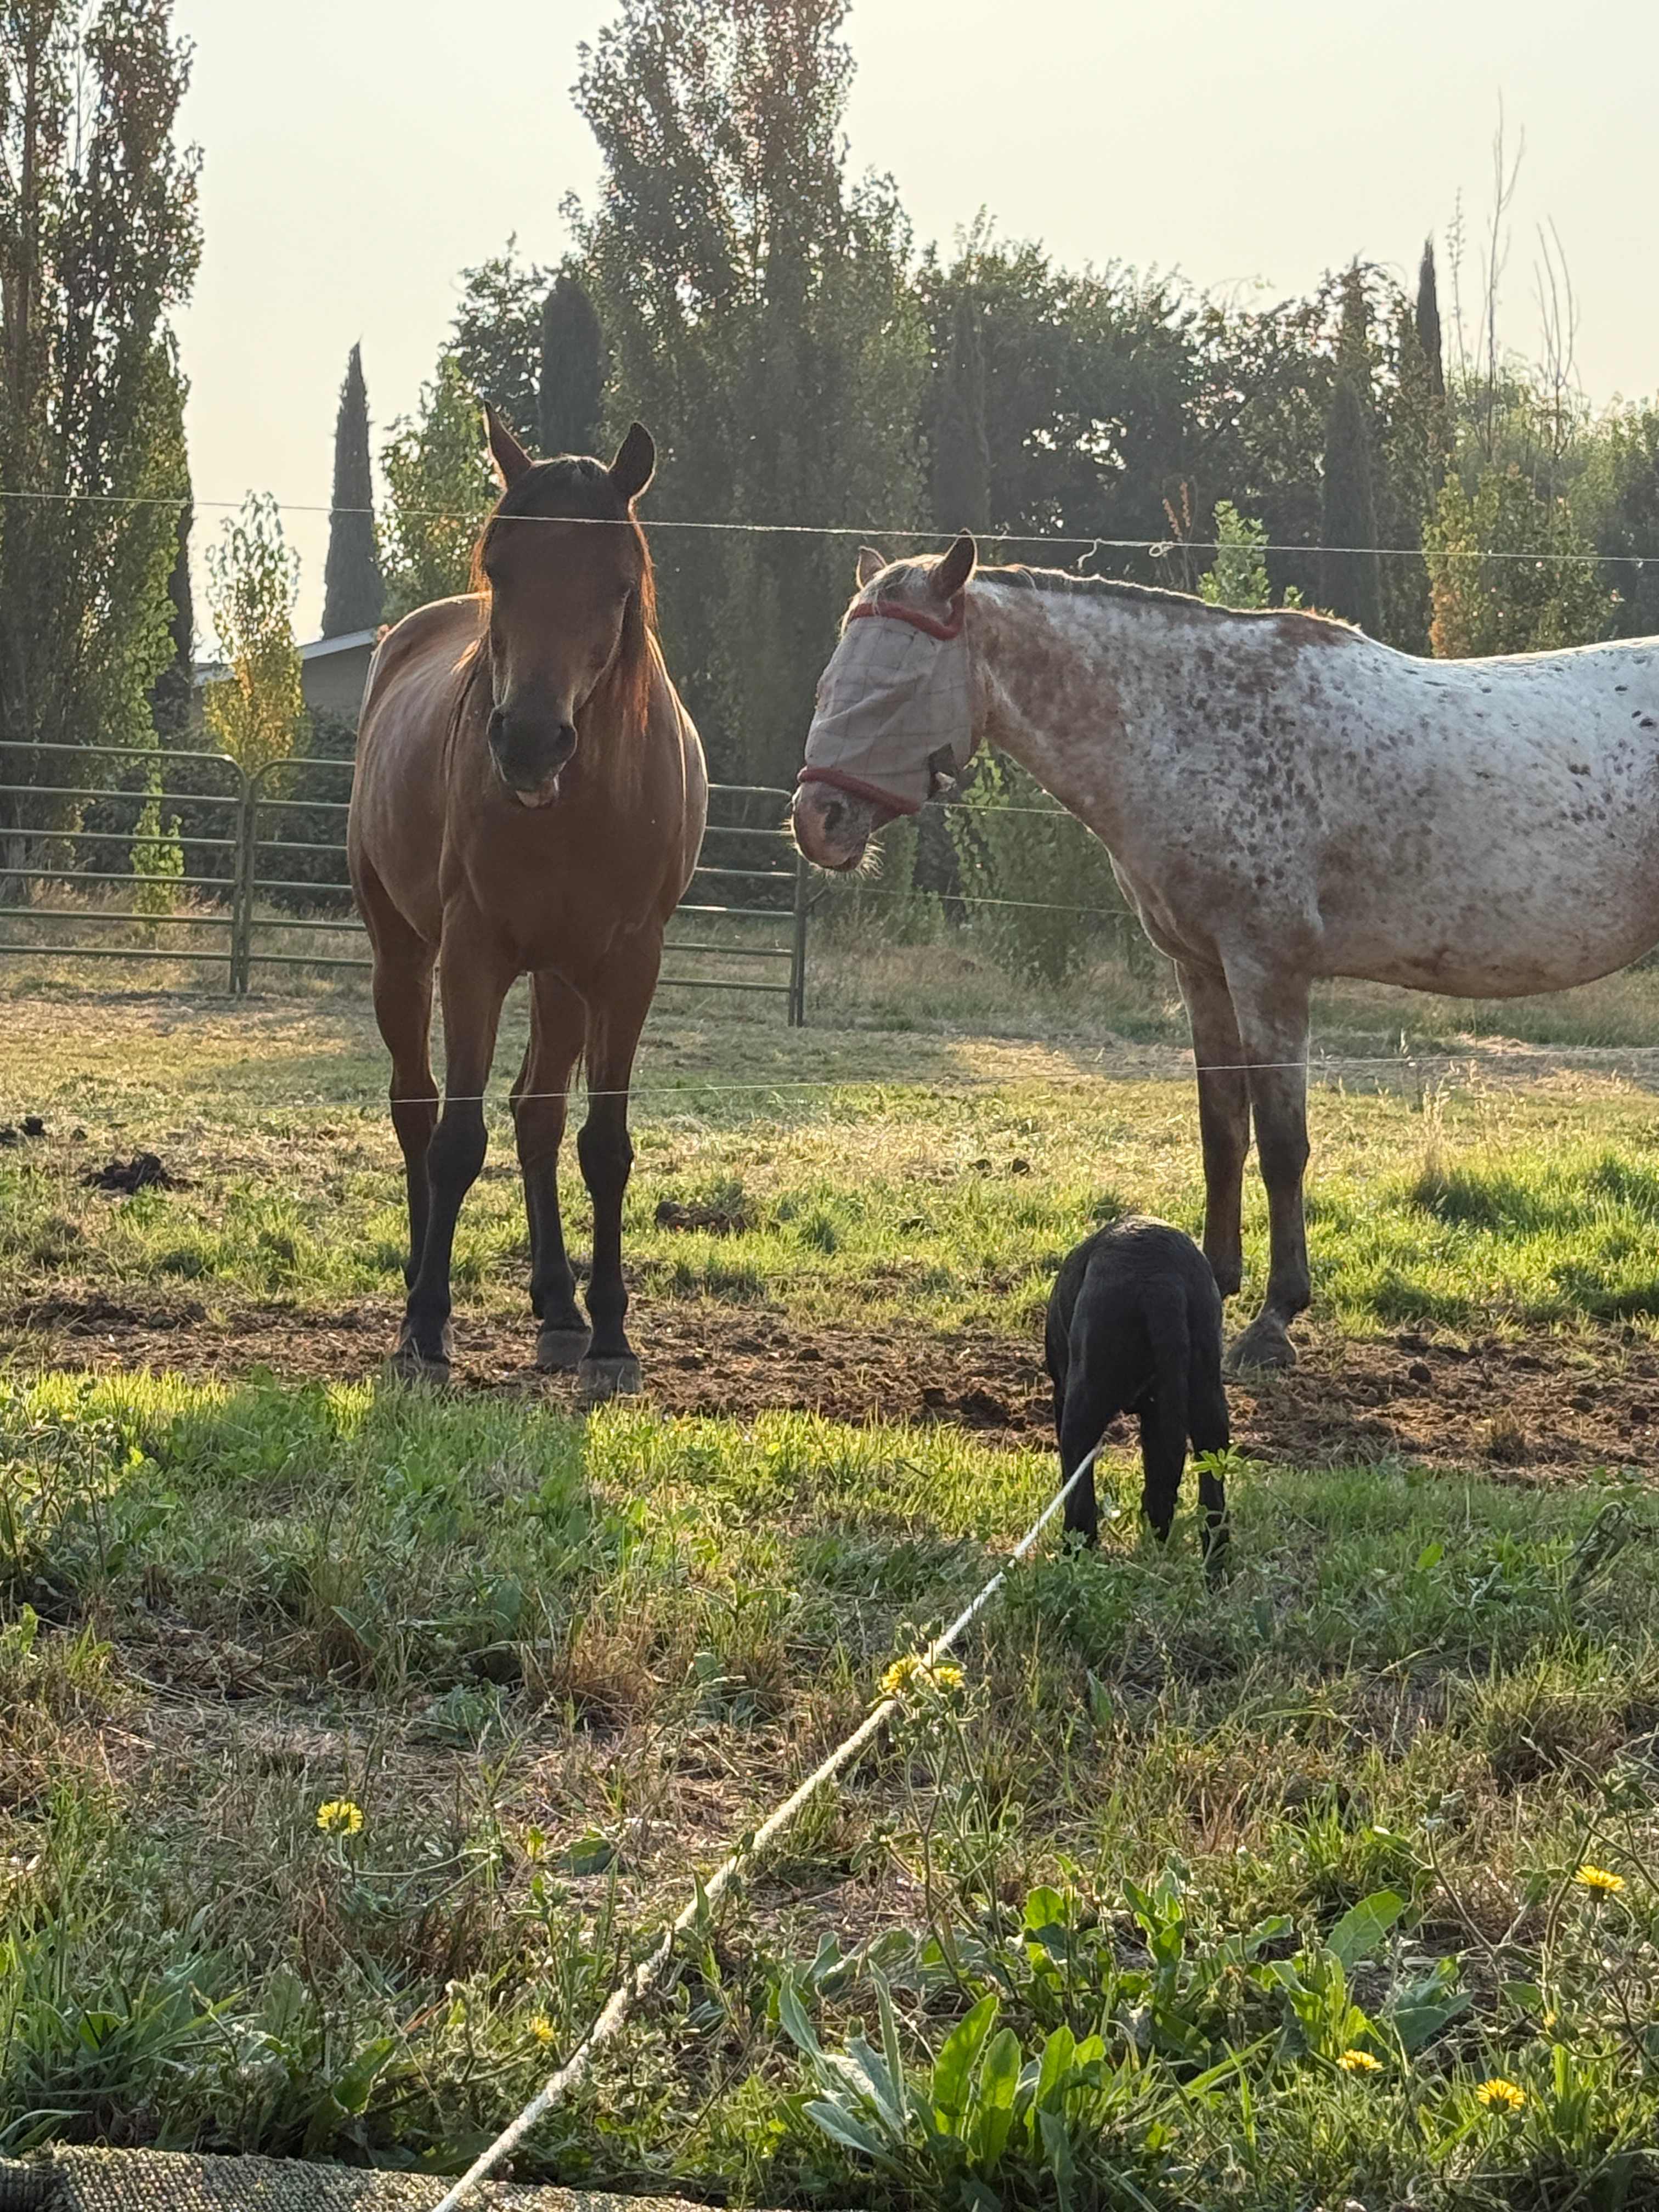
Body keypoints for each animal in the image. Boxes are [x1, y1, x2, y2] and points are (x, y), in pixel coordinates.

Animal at [348, 410, 707, 1402]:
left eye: (618, 583)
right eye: (500, 566)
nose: (531, 741)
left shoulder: (625, 968)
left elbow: (602, 1144)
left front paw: (611, 1334)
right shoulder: (473, 955)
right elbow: (456, 1139)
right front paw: (425, 1330)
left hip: (561, 979)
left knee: (537, 1115)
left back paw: (558, 1306)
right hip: (403, 956)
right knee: (418, 1107)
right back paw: (418, 1280)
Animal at [792, 533, 1659, 1369]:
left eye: (897, 685)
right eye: (830, 678)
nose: (816, 822)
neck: (1197, 729)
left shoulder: (1268, 970)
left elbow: (1280, 1144)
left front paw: (1276, 1321)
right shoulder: (1201, 968)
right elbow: (1222, 1132)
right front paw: (1217, 1281)